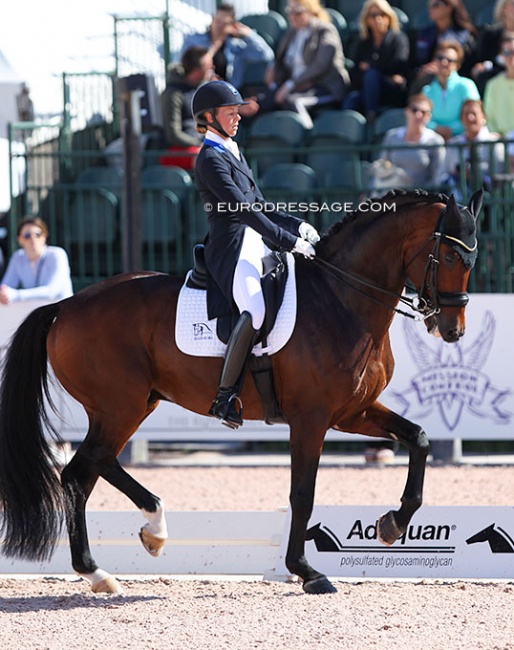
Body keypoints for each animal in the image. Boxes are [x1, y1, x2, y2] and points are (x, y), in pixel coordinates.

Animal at [0, 186, 480, 592]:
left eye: (471, 262)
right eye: (450, 257)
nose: (452, 330)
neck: (341, 299)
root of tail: (66, 306)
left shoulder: (352, 413)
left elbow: (418, 439)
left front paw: (393, 524)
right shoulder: (311, 420)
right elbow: (302, 494)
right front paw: (306, 571)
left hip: (131, 406)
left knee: (92, 467)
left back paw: (140, 541)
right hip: (120, 406)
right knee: (82, 471)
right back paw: (110, 561)